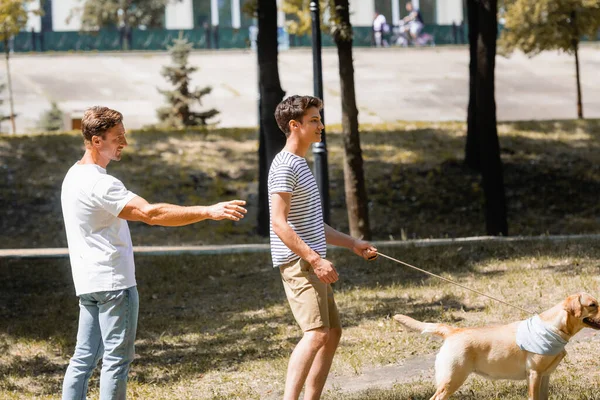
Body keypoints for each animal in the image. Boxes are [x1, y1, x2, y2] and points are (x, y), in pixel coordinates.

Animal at [394, 292, 600, 398]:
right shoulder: (534, 374)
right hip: (452, 379)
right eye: (593, 305)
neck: (555, 327)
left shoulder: (545, 375)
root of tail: (453, 331)